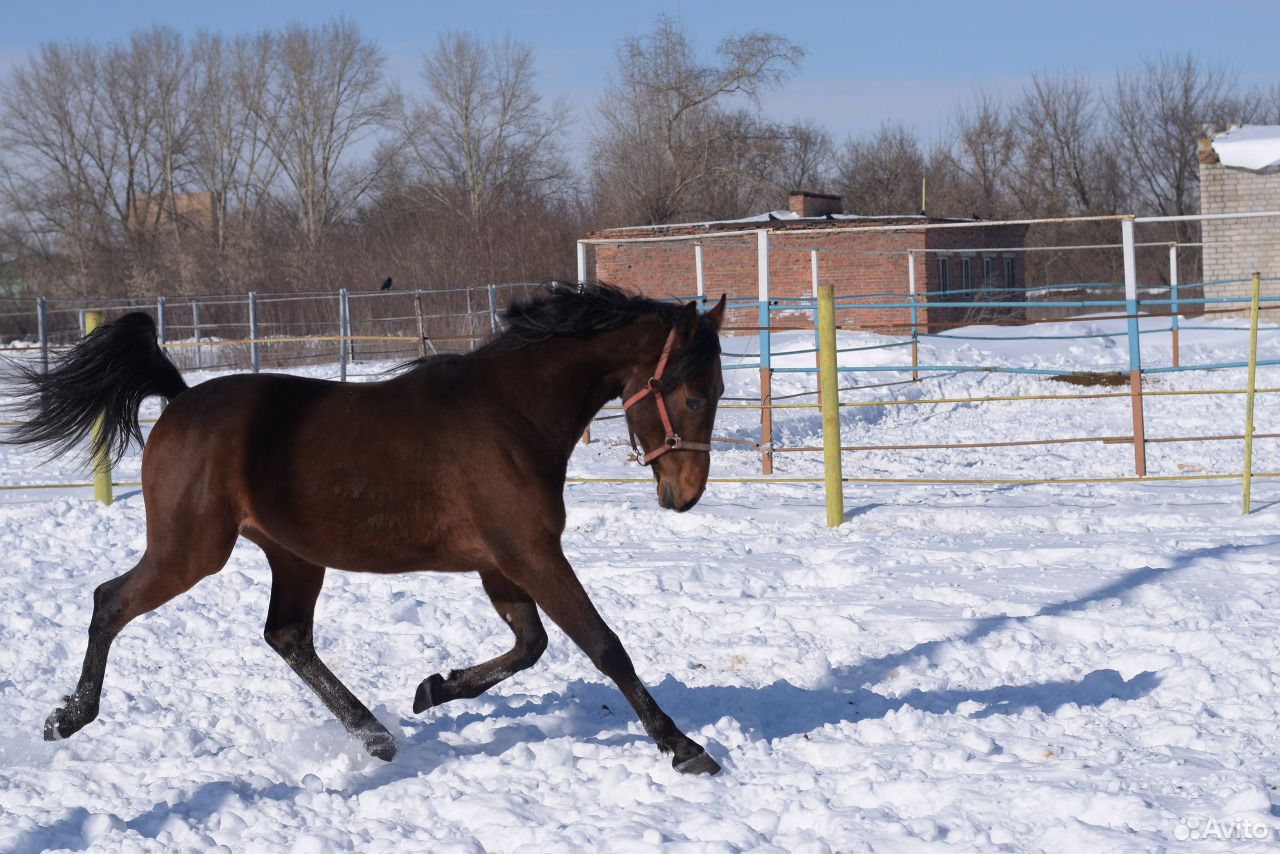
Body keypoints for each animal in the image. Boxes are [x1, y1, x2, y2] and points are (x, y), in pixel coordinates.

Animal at [7, 284, 732, 778]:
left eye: (719, 392)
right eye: (694, 395)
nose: (685, 496)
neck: (510, 414)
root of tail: (181, 400)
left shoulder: (501, 562)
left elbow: (530, 645)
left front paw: (434, 689)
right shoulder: (529, 552)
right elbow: (603, 645)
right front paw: (684, 747)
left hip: (294, 555)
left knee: (287, 635)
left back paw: (376, 734)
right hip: (191, 550)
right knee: (111, 601)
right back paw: (67, 718)